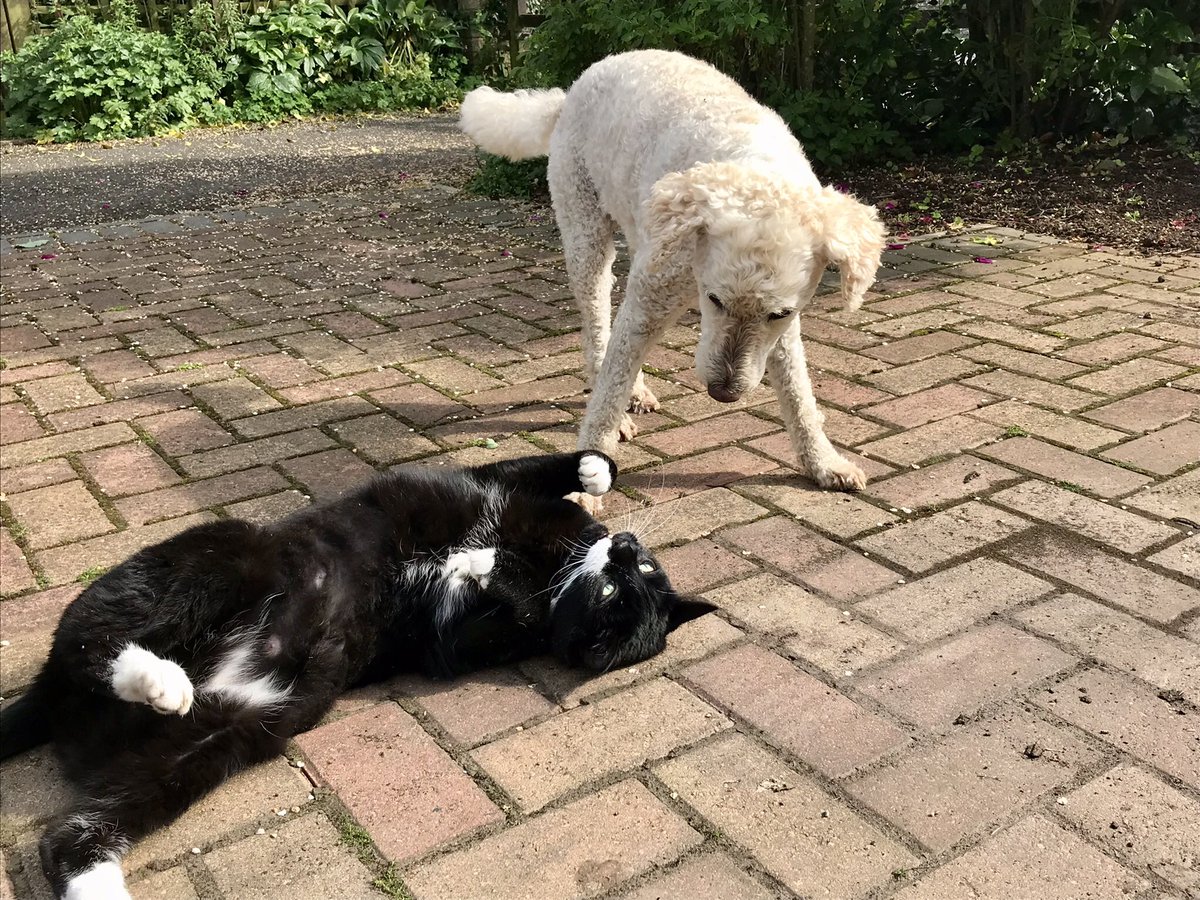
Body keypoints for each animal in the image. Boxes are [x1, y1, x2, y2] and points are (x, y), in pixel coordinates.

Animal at [0, 451, 710, 900]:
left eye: (615, 599)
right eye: (638, 574)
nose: (626, 547)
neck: (547, 561)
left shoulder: (450, 643)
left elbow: (502, 607)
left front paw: (480, 570)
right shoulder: (489, 483)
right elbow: (539, 467)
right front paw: (591, 470)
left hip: (233, 733)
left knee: (72, 834)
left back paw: (157, 692)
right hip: (231, 554)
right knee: (88, 635)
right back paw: (156, 672)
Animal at [463, 47, 888, 494]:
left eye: (779, 313)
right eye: (714, 299)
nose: (723, 393)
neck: (753, 167)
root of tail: (571, 92)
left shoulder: (780, 330)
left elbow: (798, 394)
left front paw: (823, 461)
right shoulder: (652, 299)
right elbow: (609, 389)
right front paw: (590, 468)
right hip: (585, 233)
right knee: (599, 327)